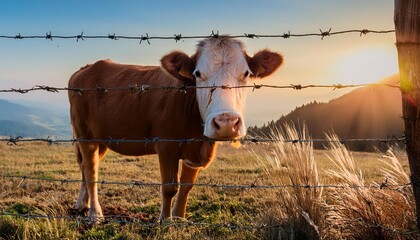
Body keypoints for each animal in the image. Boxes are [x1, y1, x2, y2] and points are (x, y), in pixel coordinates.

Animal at [69, 36, 284, 222]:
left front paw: (179, 217)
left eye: (246, 73)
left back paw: (82, 204)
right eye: (198, 73)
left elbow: (187, 186)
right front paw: (165, 220)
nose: (226, 123)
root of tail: (86, 69)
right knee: (91, 171)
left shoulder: (194, 151)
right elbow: (170, 186)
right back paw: (95, 213)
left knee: (86, 167)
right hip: (84, 134)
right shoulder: (166, 145)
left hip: (102, 138)